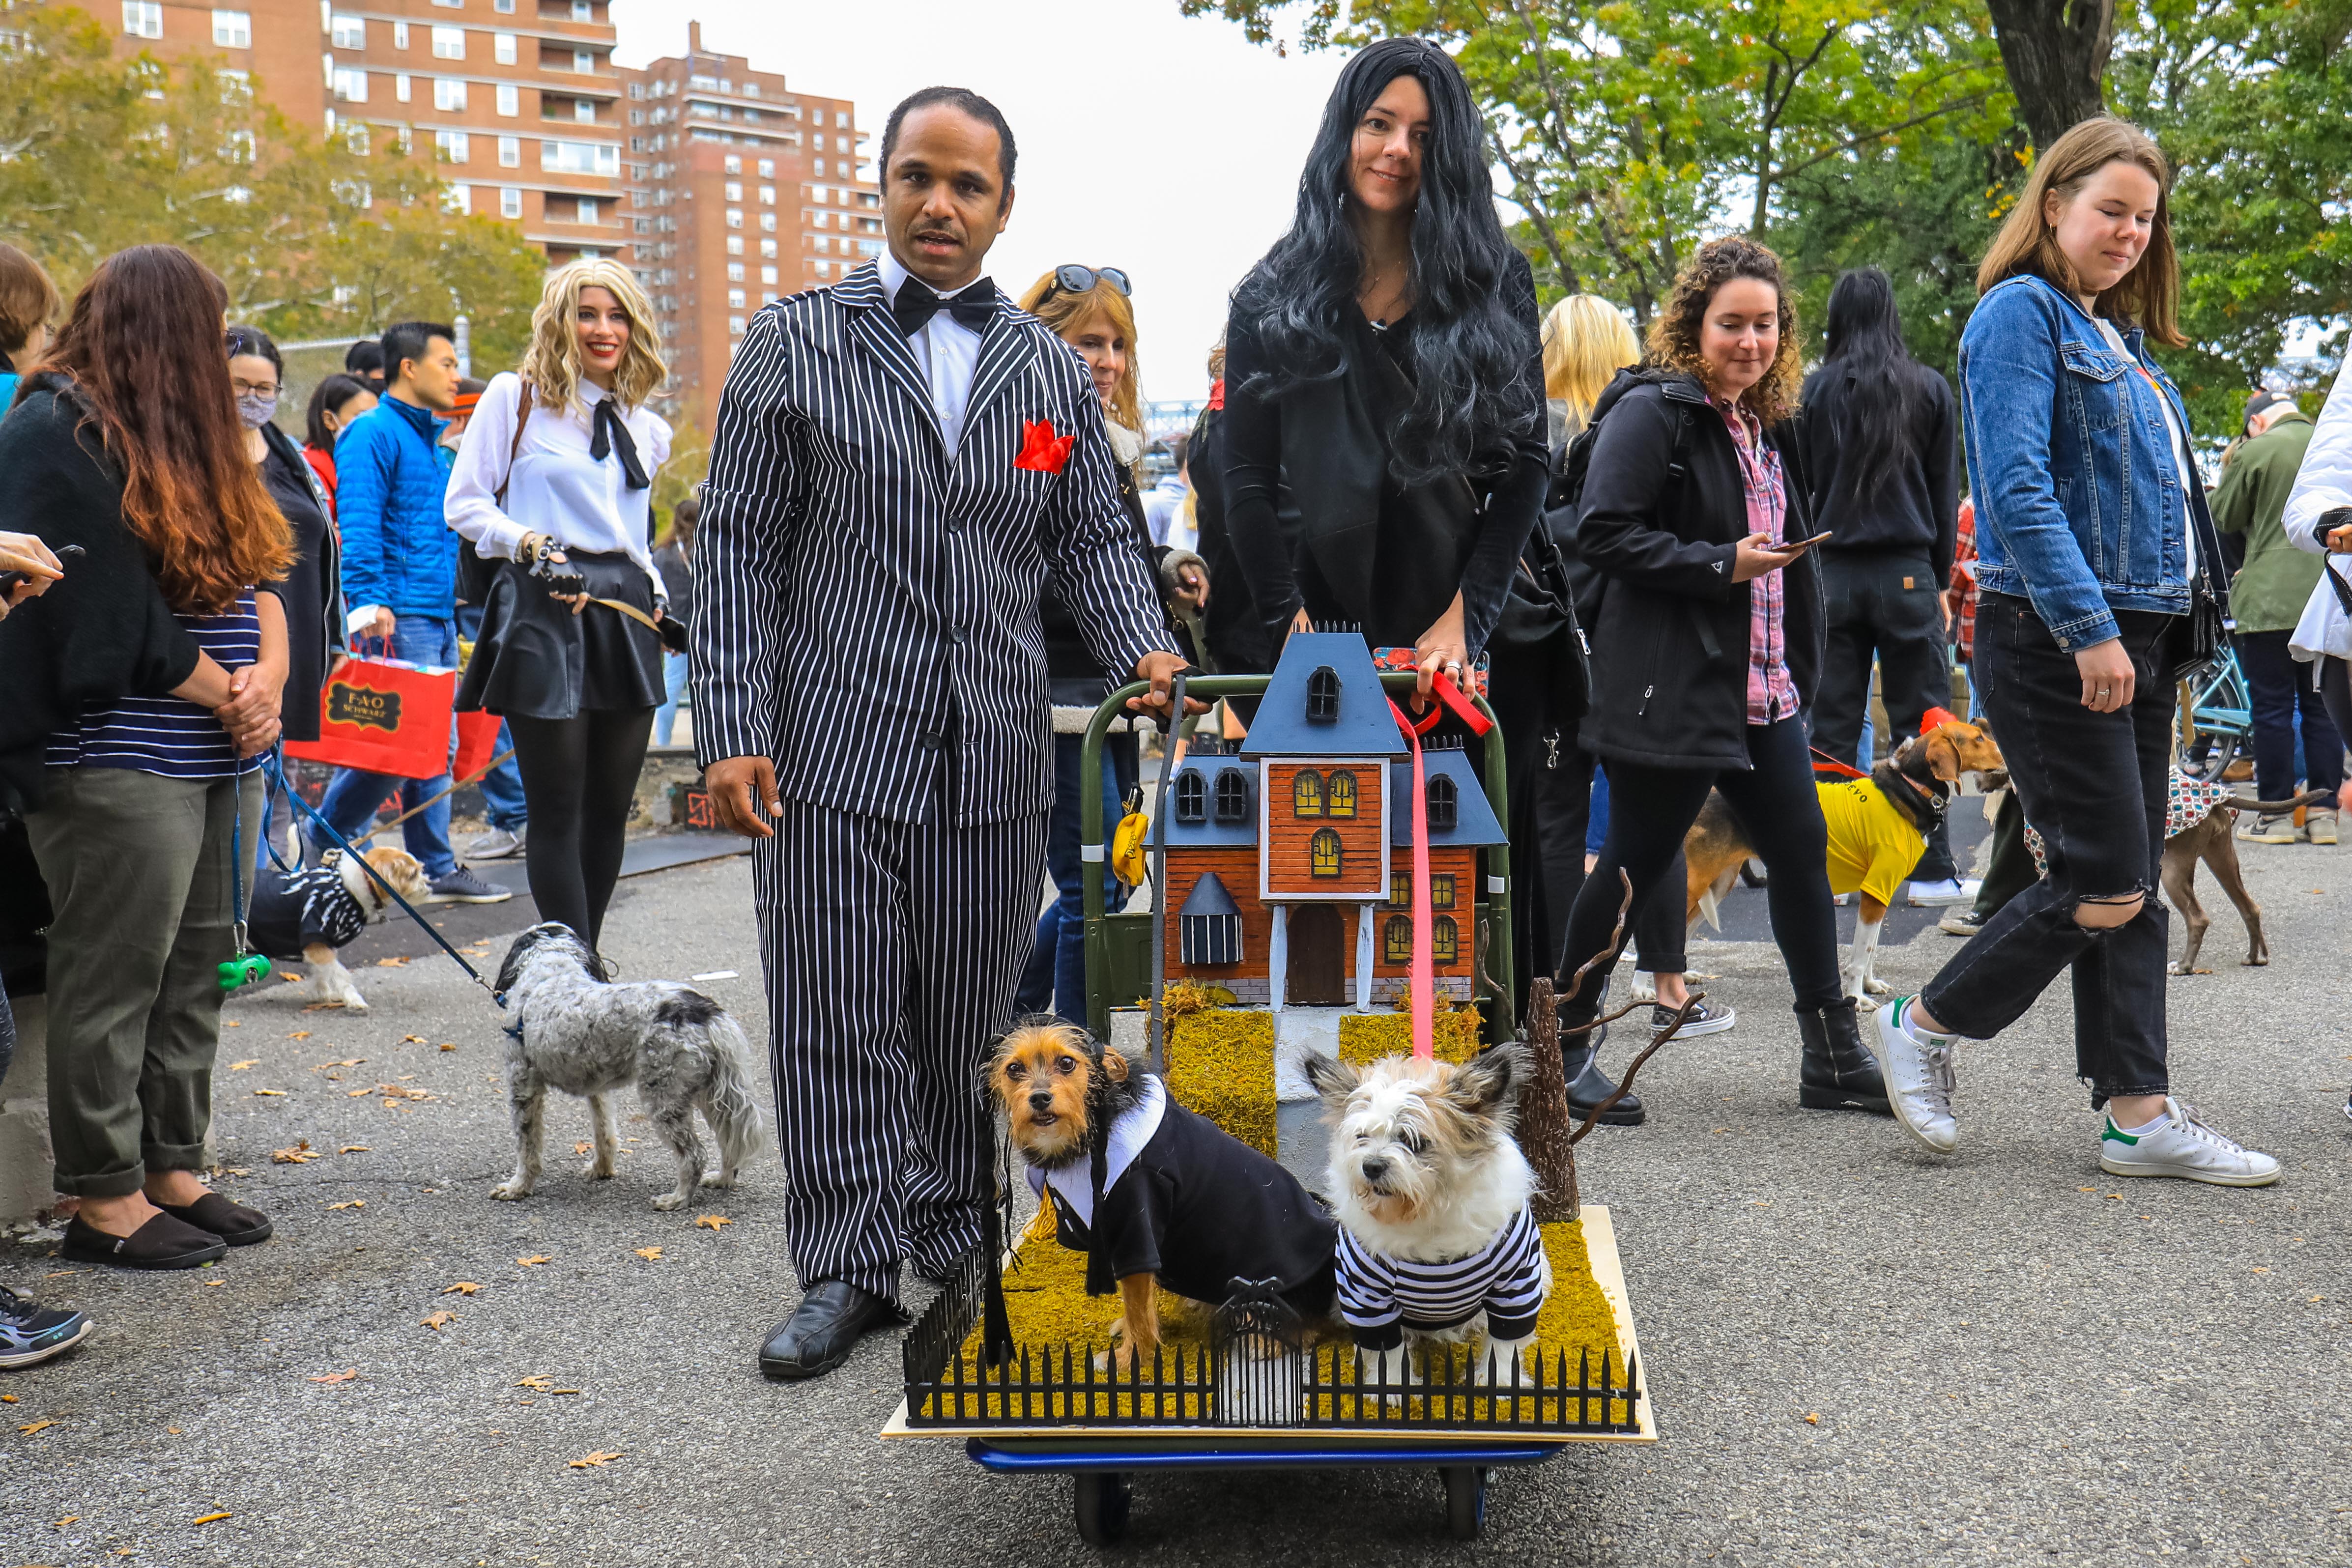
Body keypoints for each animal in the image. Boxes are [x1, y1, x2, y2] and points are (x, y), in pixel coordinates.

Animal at [491, 921, 767, 1213]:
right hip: (715, 1094)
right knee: (730, 1141)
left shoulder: (524, 1089)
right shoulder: (598, 1090)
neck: (551, 975)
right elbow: (604, 1133)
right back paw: (723, 1179)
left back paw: (678, 1199)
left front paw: (518, 1187)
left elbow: (527, 1147)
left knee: (694, 1155)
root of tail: (704, 1012)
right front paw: (601, 1169)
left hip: (664, 1098)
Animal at [983, 1025, 1336, 1363]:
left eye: (1067, 1063)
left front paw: (1130, 1358)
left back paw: (1265, 1340)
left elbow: (1138, 1308)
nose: (1040, 1098)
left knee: (1308, 1328)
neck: (1099, 1125)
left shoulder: (1138, 1229)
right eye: (1014, 1069)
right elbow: (1136, 1304)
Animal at [1298, 1048, 1552, 1392]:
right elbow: (1387, 1349)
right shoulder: (1368, 1296)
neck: (1425, 1213)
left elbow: (1504, 1342)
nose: (1371, 1166)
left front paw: (1498, 1379)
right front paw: (1392, 1385)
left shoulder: (1516, 1285)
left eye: (1415, 1142)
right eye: (1362, 1136)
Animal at [1693, 719, 2004, 1006]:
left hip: (1718, 885)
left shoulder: (1882, 891)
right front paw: (1857, 997)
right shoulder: (1875, 893)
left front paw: (1870, 985)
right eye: (1978, 738)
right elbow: (1860, 955)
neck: (1908, 788)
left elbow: (1872, 950)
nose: (2004, 754)